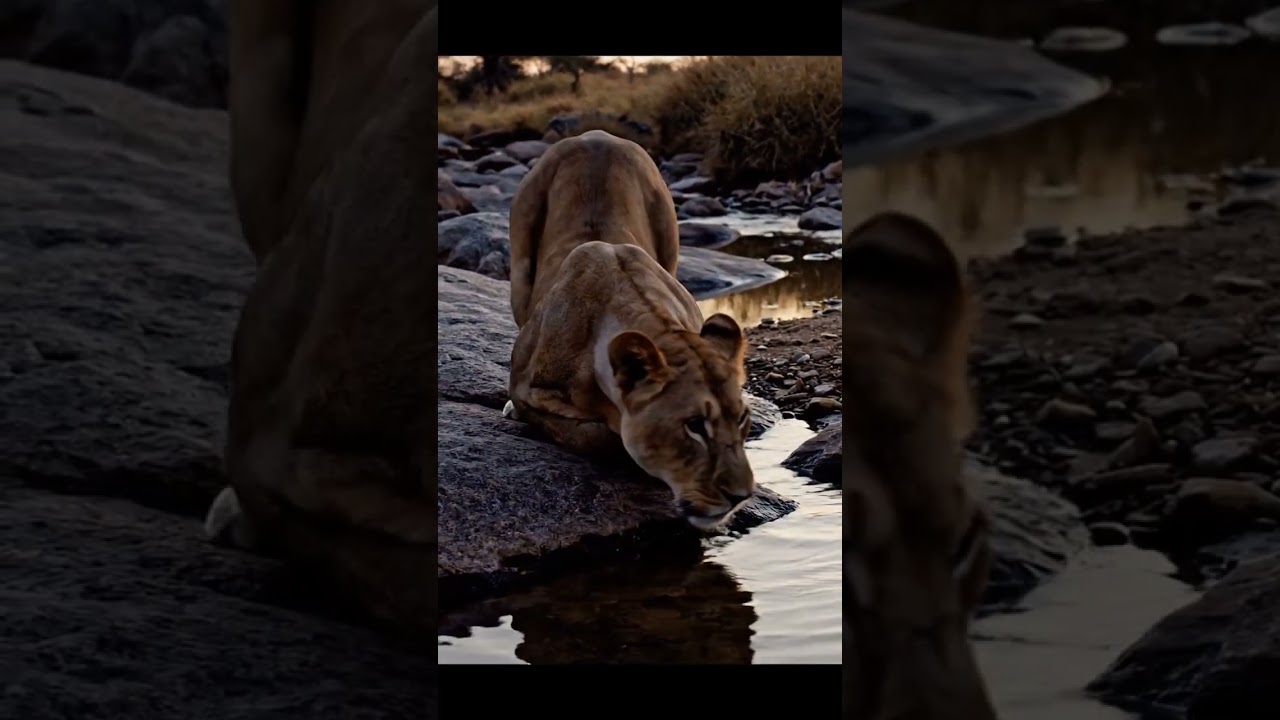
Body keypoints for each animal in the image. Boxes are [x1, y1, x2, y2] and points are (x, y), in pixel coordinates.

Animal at [503, 130, 755, 530]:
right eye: (695, 425)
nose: (741, 496)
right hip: (521, 260)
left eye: (742, 418)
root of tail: (597, 134)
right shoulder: (527, 386)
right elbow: (597, 436)